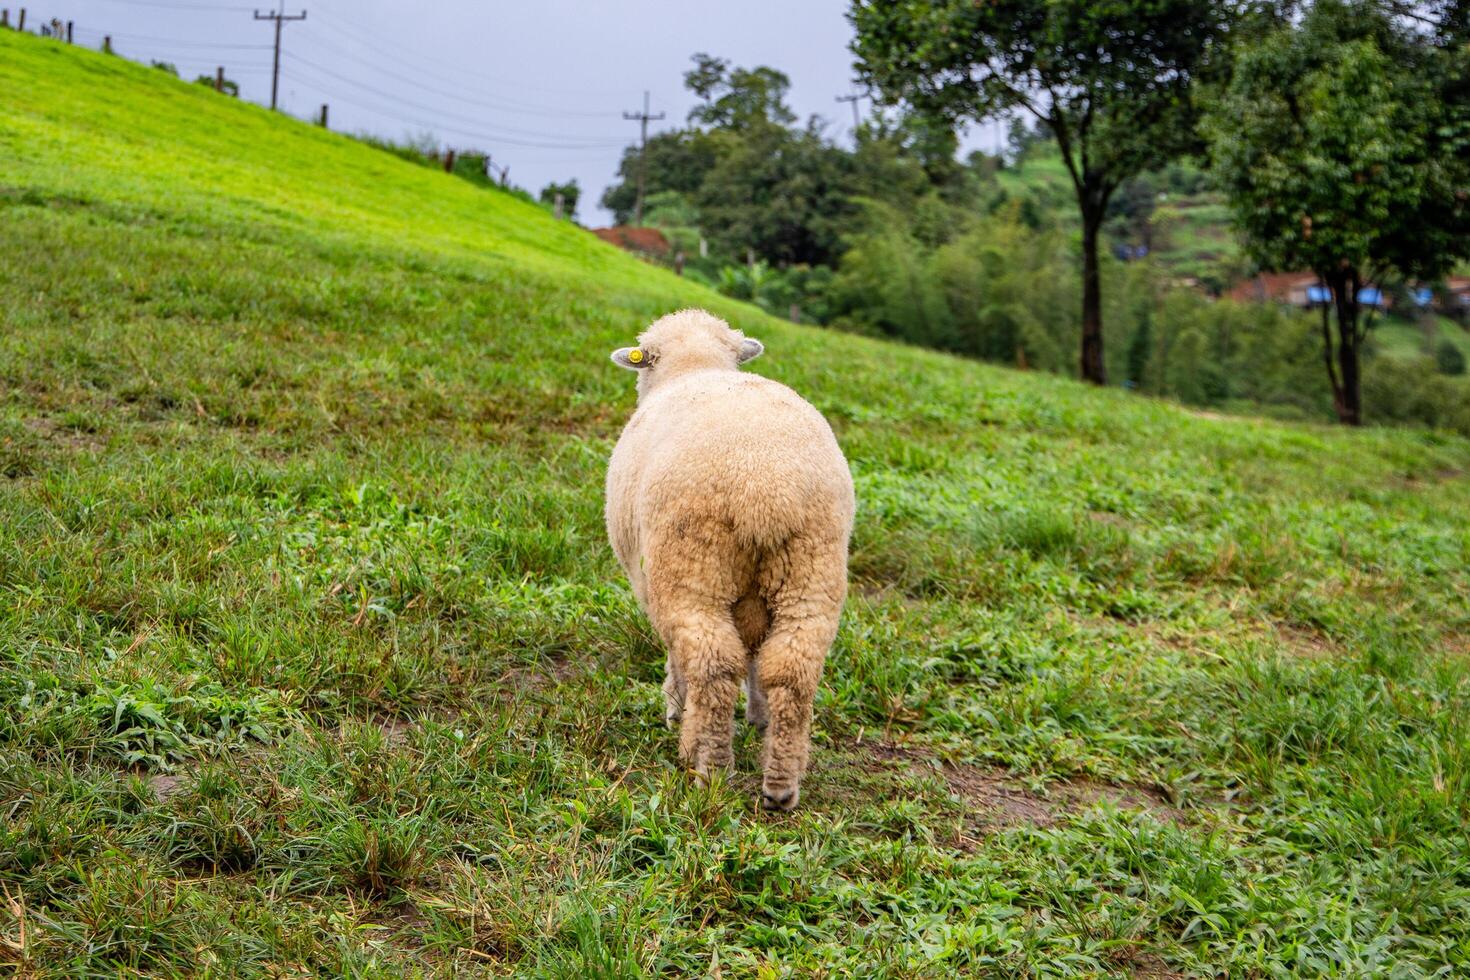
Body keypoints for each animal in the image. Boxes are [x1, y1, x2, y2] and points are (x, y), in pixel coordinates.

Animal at [602, 308, 852, 811]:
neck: (696, 366)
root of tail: (764, 492)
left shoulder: (649, 580)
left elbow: (677, 655)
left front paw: (674, 709)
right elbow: (757, 659)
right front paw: (757, 716)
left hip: (692, 567)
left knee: (712, 666)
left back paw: (708, 764)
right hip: (812, 571)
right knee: (792, 669)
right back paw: (780, 783)